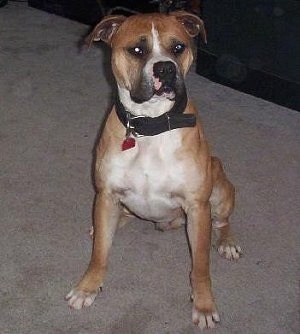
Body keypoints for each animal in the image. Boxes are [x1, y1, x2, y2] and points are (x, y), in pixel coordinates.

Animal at [65, 11, 241, 330]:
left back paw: (228, 243)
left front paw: (204, 305)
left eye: (178, 47)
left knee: (222, 222)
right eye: (137, 49)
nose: (166, 68)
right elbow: (99, 254)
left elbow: (200, 266)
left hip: (219, 186)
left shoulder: (197, 207)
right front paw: (88, 287)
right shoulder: (106, 194)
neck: (150, 125)